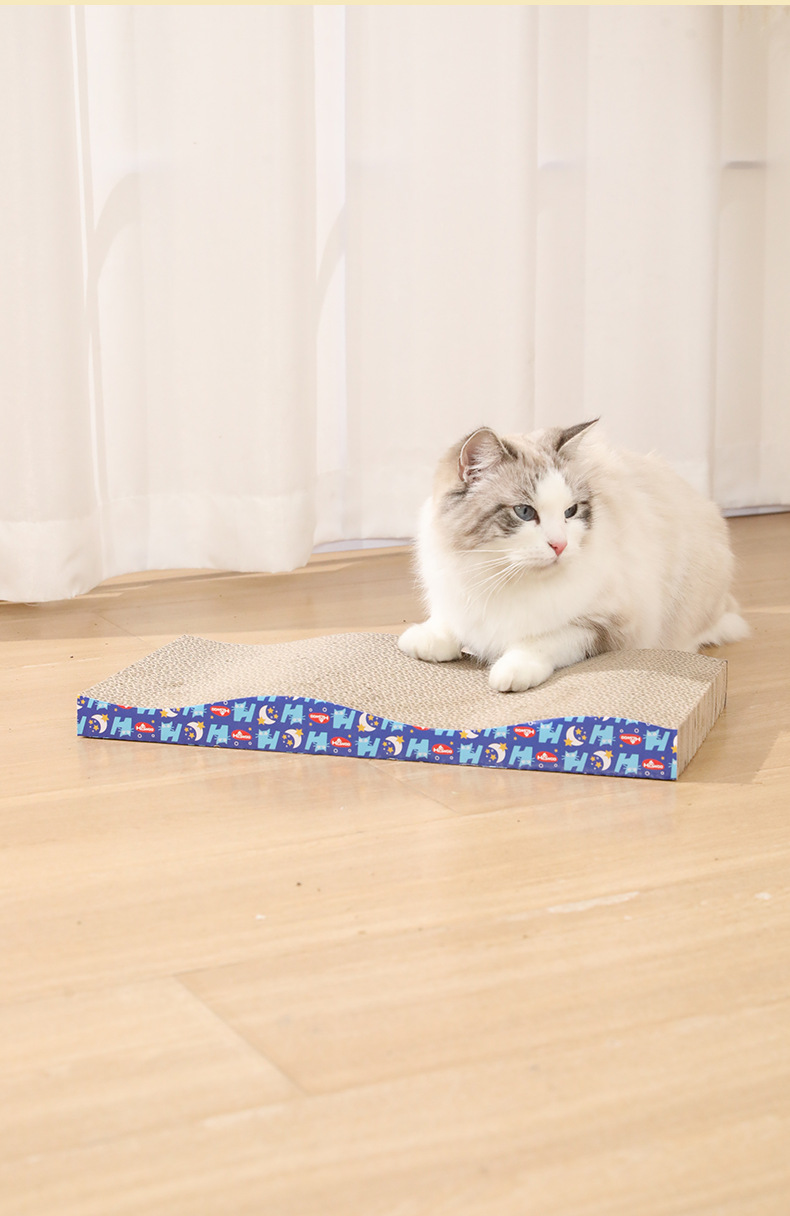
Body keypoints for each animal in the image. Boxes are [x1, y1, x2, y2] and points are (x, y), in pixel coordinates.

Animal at [398, 420, 749, 692]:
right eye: (525, 512)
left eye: (571, 512)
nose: (560, 546)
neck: (498, 575)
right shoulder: (458, 595)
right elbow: (448, 624)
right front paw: (426, 640)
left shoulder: (604, 627)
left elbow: (542, 640)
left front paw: (511, 670)